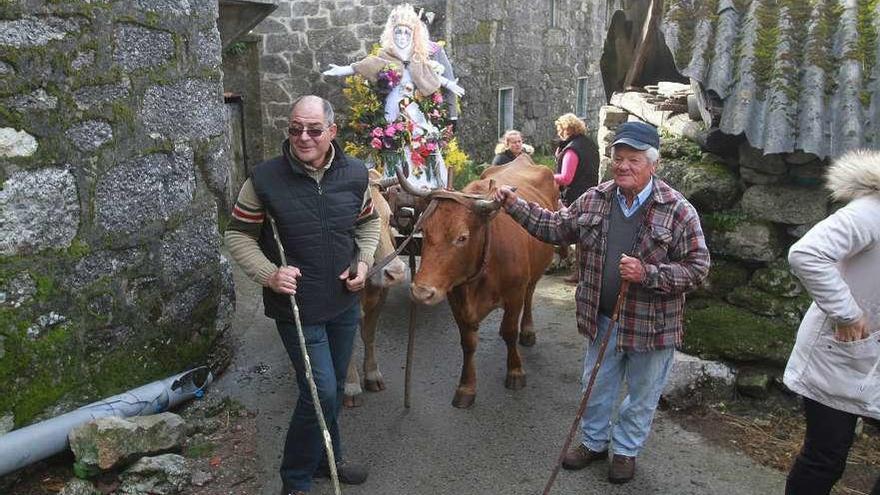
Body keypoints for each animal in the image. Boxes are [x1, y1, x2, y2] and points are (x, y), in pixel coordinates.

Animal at [346, 170, 410, 406]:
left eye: (389, 217)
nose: (397, 272)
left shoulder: (381, 295)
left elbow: (369, 334)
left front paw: (372, 374)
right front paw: (350, 385)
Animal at [400, 157, 552, 408]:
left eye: (462, 237)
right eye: (423, 230)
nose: (422, 292)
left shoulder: (514, 295)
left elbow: (509, 332)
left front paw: (515, 371)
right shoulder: (455, 298)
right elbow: (468, 343)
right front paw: (466, 387)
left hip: (534, 274)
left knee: (530, 296)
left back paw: (528, 331)